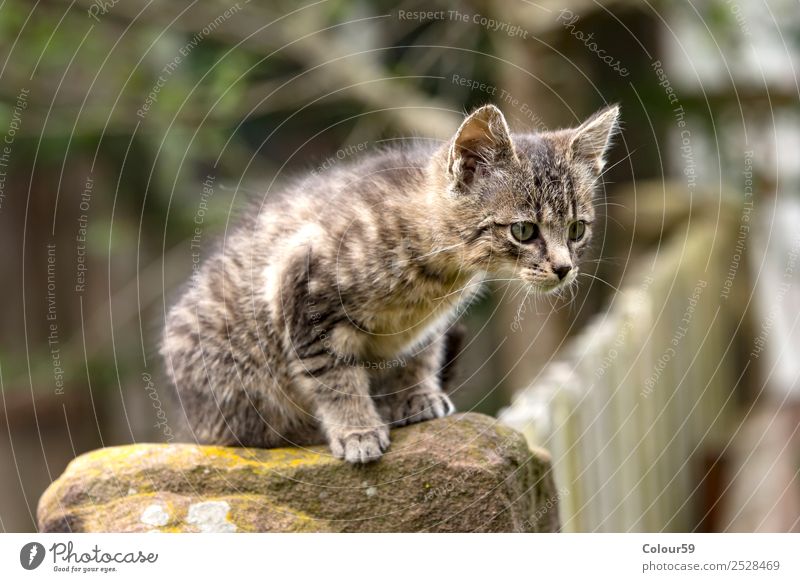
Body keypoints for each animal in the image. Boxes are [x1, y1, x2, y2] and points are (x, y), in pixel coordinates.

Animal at [161, 104, 620, 466]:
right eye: (524, 231)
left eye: (577, 229)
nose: (563, 268)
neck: (439, 274)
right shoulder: (301, 286)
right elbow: (332, 375)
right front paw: (357, 430)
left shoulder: (428, 324)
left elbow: (422, 352)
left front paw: (419, 394)